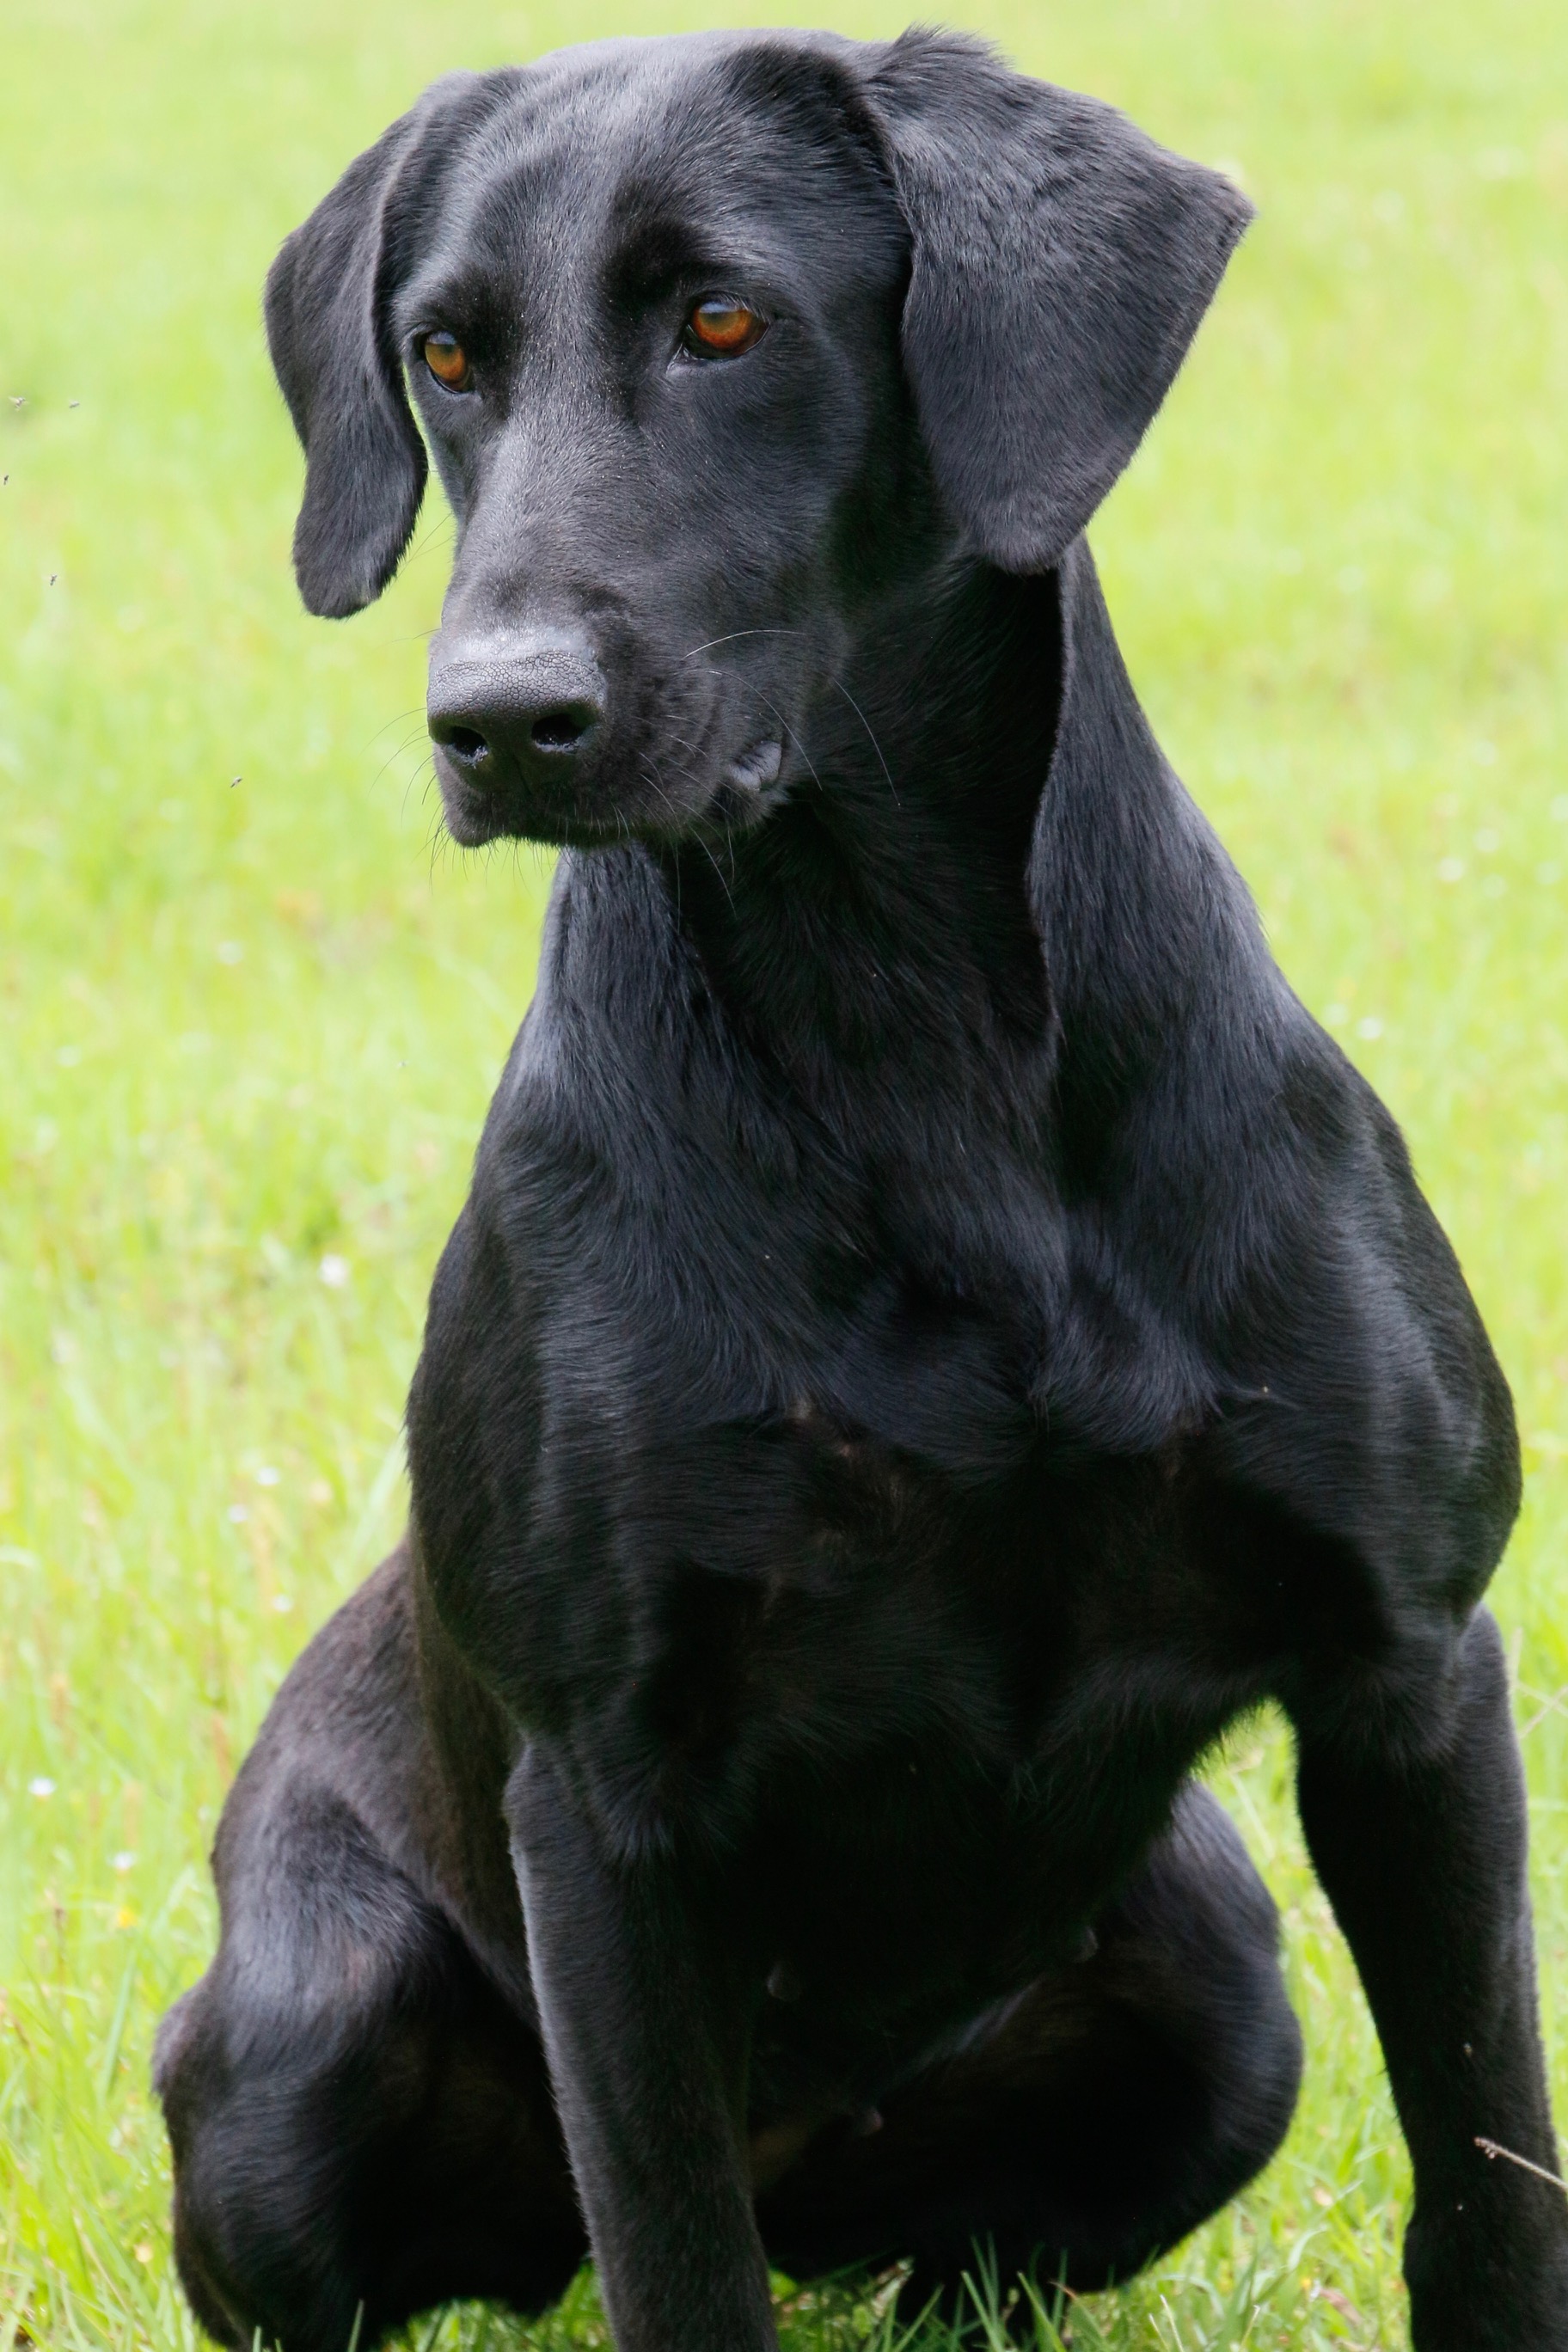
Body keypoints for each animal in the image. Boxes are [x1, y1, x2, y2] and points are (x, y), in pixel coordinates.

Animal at [152, 32, 1560, 2352]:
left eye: (725, 321)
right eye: (445, 356)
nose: (495, 720)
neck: (908, 1040)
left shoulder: (1409, 1678)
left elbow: (1488, 2175)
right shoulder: (605, 1803)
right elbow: (674, 2255)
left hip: (1222, 1980)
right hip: (297, 2037)